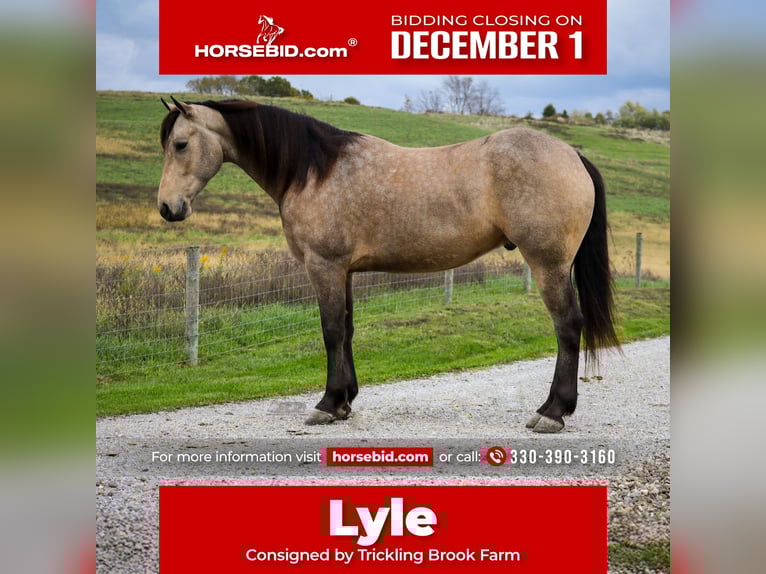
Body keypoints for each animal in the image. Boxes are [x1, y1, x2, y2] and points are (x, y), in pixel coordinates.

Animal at [157, 96, 619, 433]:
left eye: (180, 144)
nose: (168, 208)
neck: (314, 170)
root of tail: (573, 155)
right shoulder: (343, 271)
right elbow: (347, 331)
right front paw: (345, 400)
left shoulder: (323, 266)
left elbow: (330, 332)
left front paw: (327, 403)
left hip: (548, 264)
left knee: (567, 326)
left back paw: (552, 411)